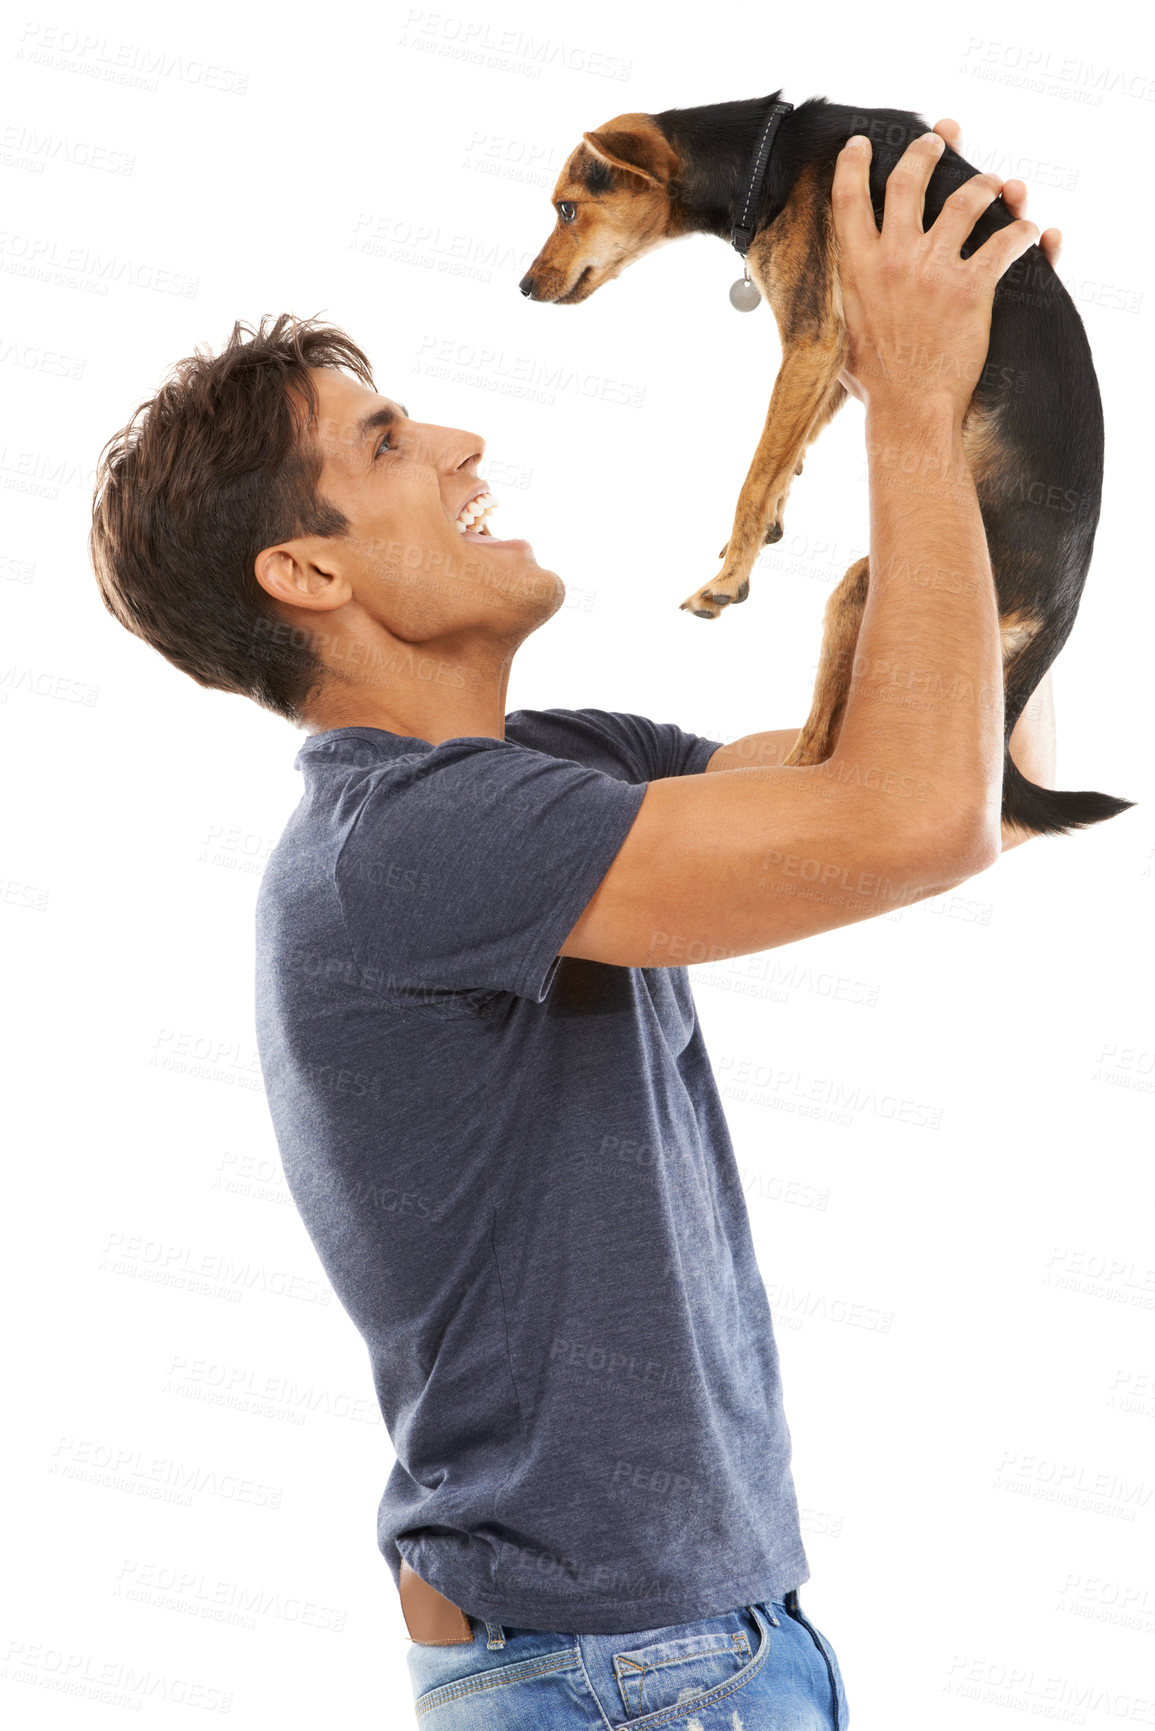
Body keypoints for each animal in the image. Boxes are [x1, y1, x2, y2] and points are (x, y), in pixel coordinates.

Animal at [519, 93, 1135, 837]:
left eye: (567, 209)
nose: (523, 286)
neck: (768, 153)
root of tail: (1063, 607)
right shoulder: (836, 361)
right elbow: (791, 449)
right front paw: (765, 529)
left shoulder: (812, 338)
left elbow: (756, 470)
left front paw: (726, 577)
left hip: (859, 591)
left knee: (819, 753)